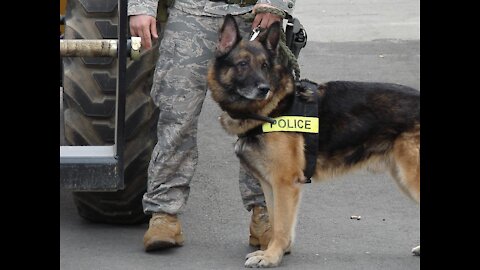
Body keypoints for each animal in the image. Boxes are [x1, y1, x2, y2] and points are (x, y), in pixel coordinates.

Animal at [207, 15, 420, 268]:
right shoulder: (270, 184)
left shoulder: (284, 184)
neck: (274, 108)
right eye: (242, 64)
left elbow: (281, 226)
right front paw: (274, 251)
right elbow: (276, 221)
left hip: (412, 178)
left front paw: (272, 256)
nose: (264, 89)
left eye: (265, 66)